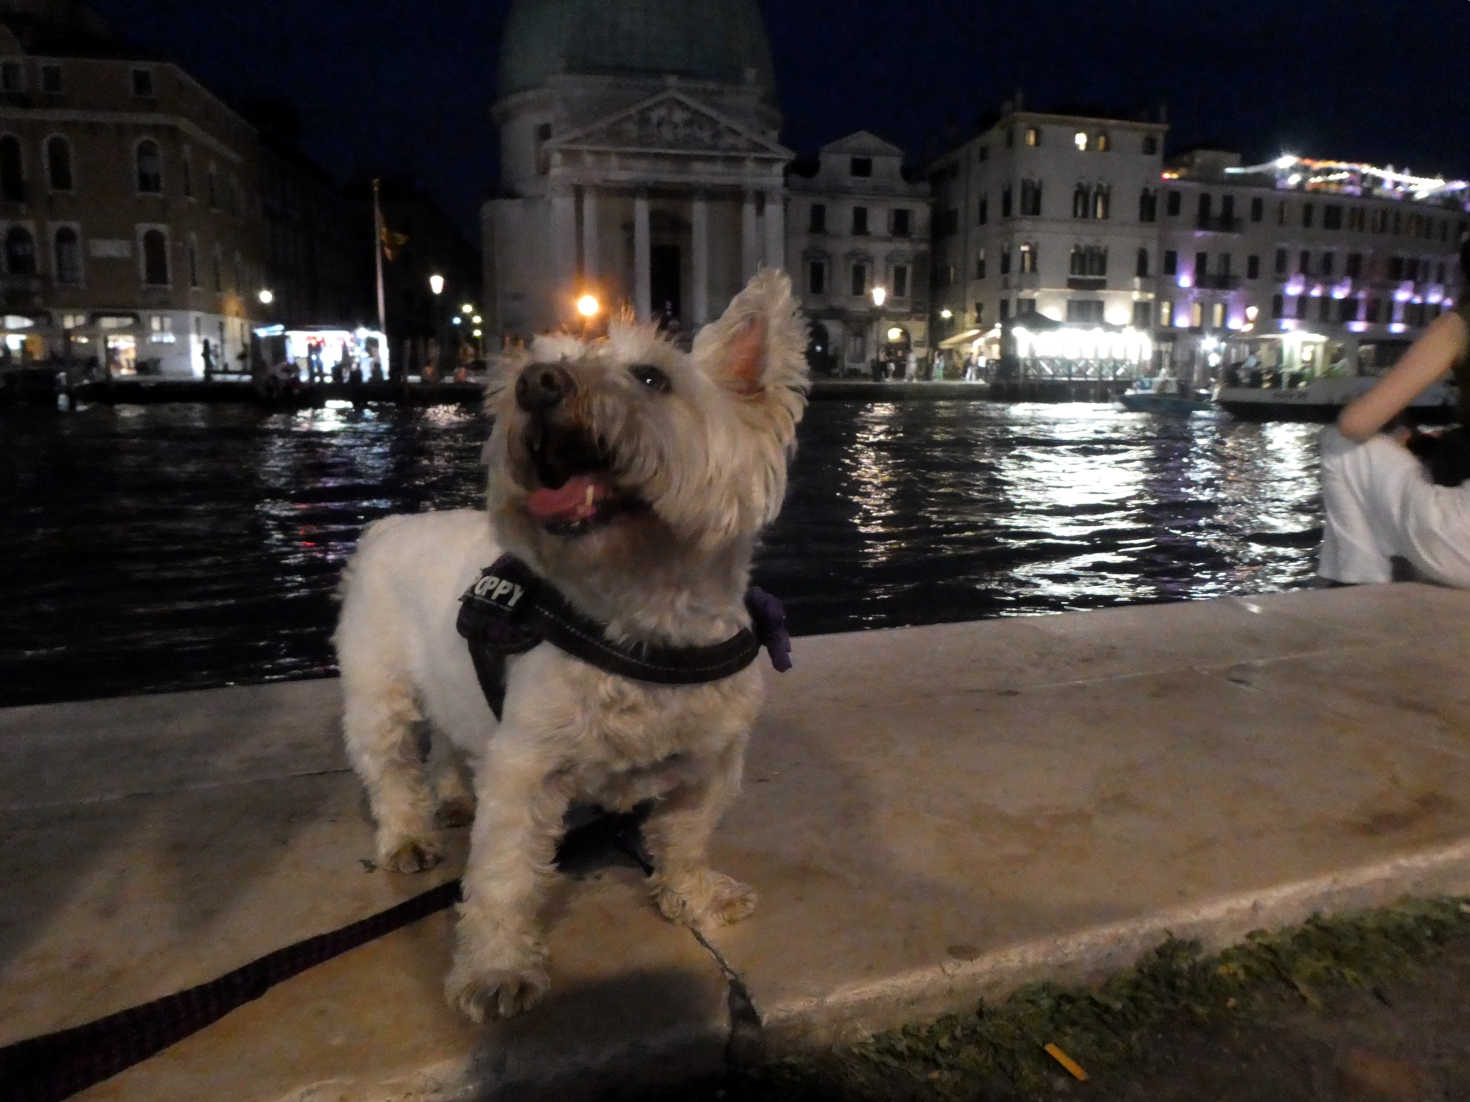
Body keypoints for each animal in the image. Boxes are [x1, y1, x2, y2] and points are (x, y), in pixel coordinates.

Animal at [335, 270, 811, 1028]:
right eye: (531, 369)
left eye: (651, 376)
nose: (537, 384)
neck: (640, 620)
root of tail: (392, 524)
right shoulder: (524, 768)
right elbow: (503, 876)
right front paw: (497, 969)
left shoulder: (709, 763)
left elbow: (686, 837)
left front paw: (694, 896)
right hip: (379, 691)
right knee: (391, 770)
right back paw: (408, 835)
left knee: (450, 744)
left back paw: (451, 796)